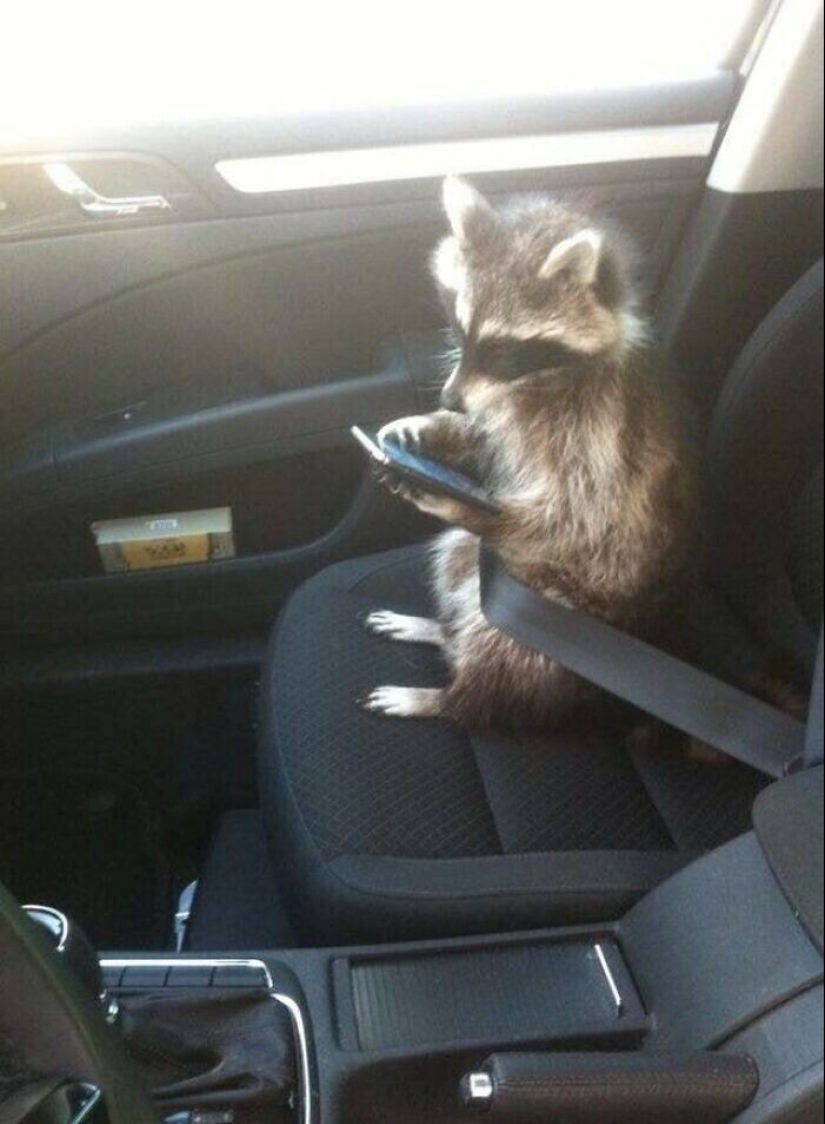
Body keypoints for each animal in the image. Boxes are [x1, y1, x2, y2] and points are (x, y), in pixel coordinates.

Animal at [361, 177, 698, 737]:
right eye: (459, 330)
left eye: (503, 351)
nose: (449, 399)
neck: (535, 378)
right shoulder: (503, 408)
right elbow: (486, 435)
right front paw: (433, 426)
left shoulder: (598, 428)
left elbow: (573, 516)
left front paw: (461, 499)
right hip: (483, 568)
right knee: (456, 557)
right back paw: (442, 631)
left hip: (556, 613)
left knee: (503, 646)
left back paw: (451, 697)